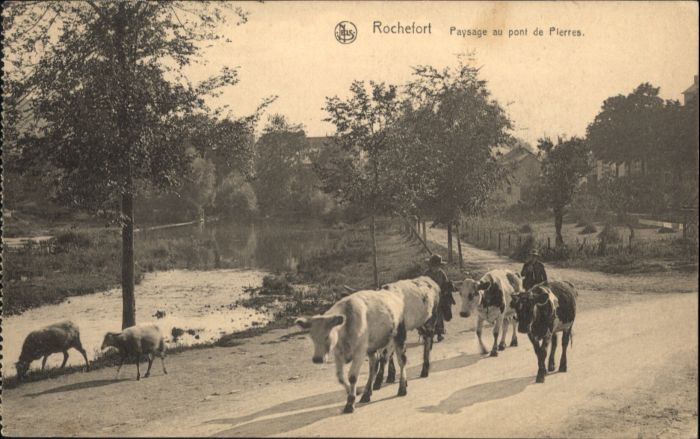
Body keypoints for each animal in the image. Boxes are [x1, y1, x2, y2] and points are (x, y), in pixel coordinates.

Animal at [295, 276, 442, 413]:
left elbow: (352, 376)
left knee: (404, 359)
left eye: (327, 336)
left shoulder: (360, 353)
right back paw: (367, 393)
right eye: (312, 337)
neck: (347, 324)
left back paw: (404, 386)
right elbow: (341, 377)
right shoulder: (339, 354)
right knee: (375, 366)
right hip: (376, 346)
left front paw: (350, 403)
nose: (317, 359)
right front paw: (355, 392)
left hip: (404, 334)